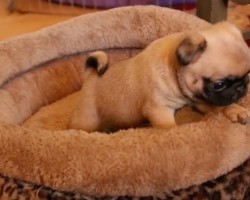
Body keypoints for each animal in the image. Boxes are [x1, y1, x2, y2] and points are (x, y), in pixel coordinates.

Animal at [68, 21, 250, 132]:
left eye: (248, 76)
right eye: (219, 84)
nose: (241, 87)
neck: (174, 71)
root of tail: (90, 75)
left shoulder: (201, 100)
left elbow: (219, 106)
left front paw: (236, 110)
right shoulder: (159, 109)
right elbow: (169, 127)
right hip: (88, 119)